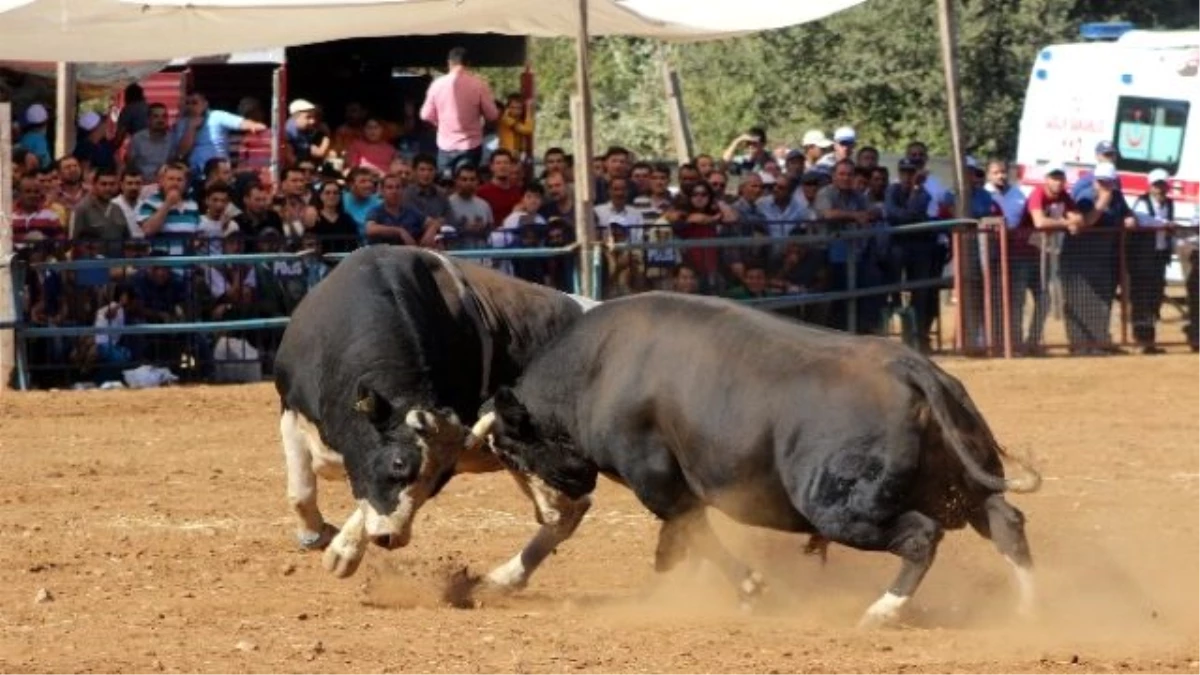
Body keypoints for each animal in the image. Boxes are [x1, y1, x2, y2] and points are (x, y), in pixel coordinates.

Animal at [270, 247, 592, 578]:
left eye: (439, 482)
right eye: (398, 463)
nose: (392, 539)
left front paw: (343, 551)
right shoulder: (291, 408)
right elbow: (301, 492)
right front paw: (316, 535)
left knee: (565, 514)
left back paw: (503, 579)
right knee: (561, 514)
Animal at [475, 290, 1041, 624]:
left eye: (512, 450)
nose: (550, 511)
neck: (601, 367)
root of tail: (912, 369)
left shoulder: (659, 482)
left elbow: (693, 534)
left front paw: (746, 587)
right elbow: (682, 539)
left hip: (841, 509)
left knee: (923, 537)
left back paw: (882, 610)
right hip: (962, 484)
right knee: (1006, 523)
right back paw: (1028, 606)